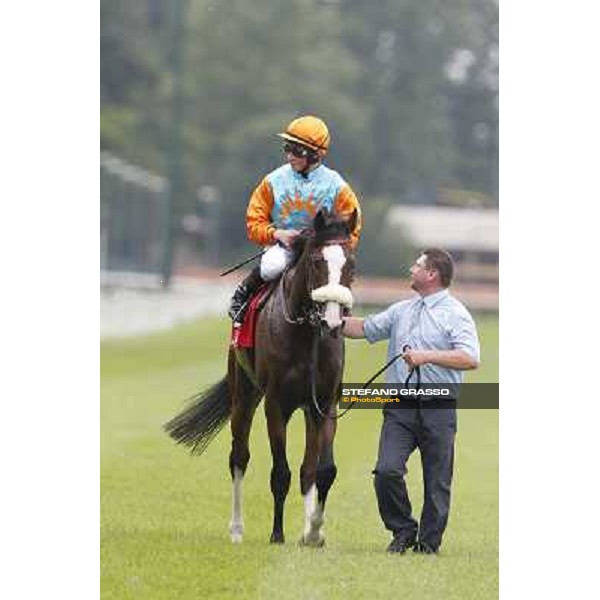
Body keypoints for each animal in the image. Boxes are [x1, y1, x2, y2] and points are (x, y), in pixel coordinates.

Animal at [164, 209, 356, 548]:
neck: (307, 335)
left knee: (307, 470)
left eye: (352, 266)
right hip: (243, 394)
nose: (332, 321)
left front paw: (314, 532)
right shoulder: (276, 404)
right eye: (316, 261)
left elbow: (322, 471)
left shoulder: (324, 405)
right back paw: (237, 530)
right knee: (238, 457)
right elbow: (280, 473)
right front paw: (277, 534)